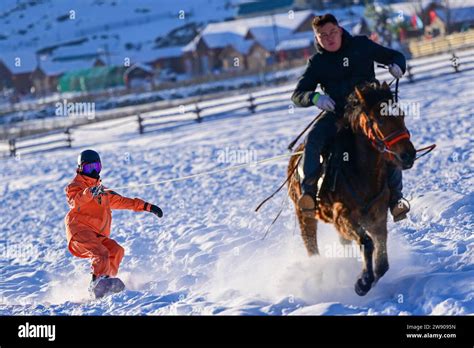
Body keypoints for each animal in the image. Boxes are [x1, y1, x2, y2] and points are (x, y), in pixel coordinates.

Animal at [286, 81, 414, 296]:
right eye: (379, 120)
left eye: (401, 114)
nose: (409, 155)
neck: (360, 172)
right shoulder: (343, 216)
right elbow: (367, 243)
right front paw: (362, 282)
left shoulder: (378, 218)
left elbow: (382, 262)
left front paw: (368, 277)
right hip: (305, 215)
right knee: (311, 246)